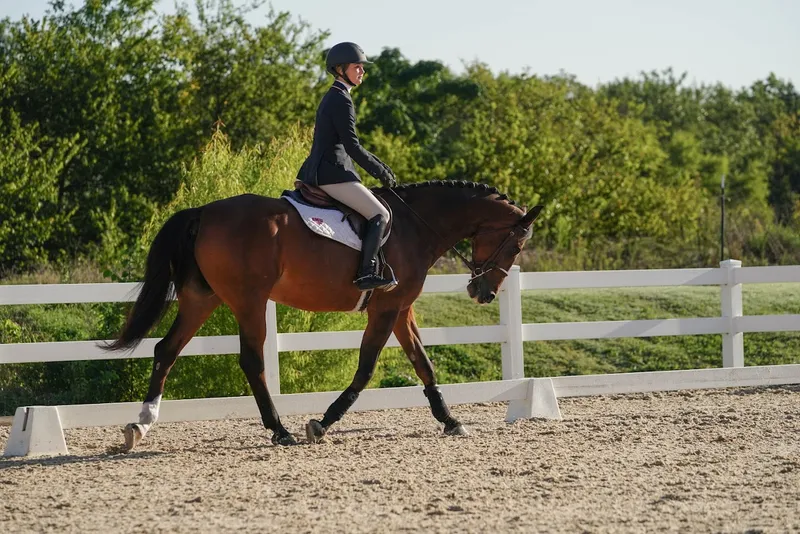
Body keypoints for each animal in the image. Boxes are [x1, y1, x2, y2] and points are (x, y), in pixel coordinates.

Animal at [104, 182, 544, 450]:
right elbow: (366, 369)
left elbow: (424, 364)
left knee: (166, 350)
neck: (415, 227)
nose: (483, 293)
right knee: (251, 361)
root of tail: (204, 212)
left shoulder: (401, 308)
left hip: (202, 298)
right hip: (249, 301)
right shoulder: (386, 308)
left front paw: (450, 420)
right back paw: (280, 431)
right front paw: (322, 423)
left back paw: (140, 425)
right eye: (515, 247)